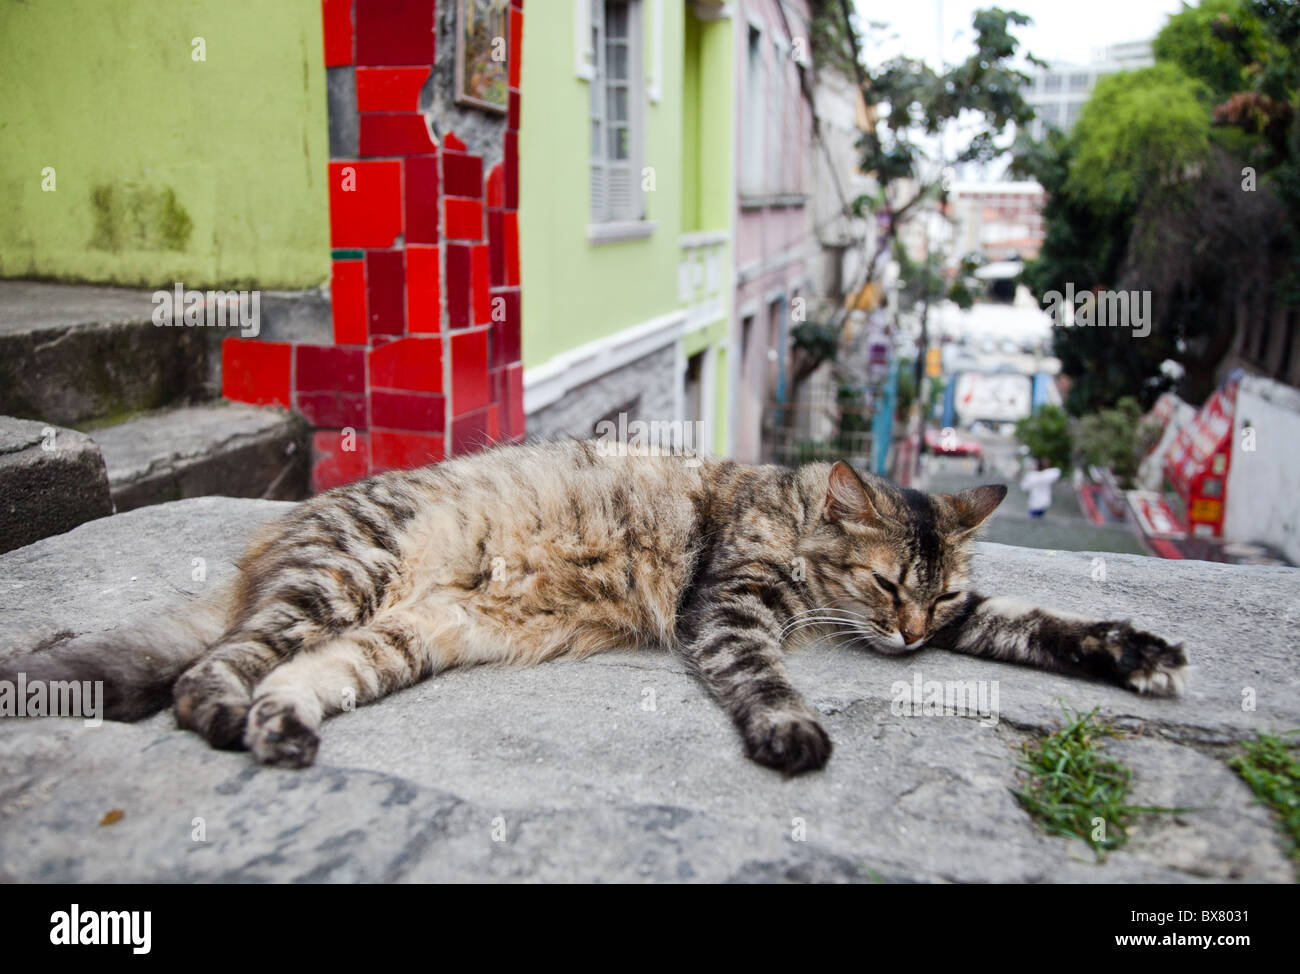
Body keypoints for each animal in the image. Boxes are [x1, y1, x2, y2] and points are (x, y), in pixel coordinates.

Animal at [2, 442, 1190, 775]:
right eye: (887, 585)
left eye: (933, 595)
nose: (904, 638)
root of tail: (279, 533)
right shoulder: (731, 611)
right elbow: (767, 679)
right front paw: (794, 733)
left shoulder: (974, 615)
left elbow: (1040, 622)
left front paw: (1134, 650)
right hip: (337, 584)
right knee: (217, 669)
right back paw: (222, 716)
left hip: (392, 640)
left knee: (292, 679)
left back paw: (282, 731)